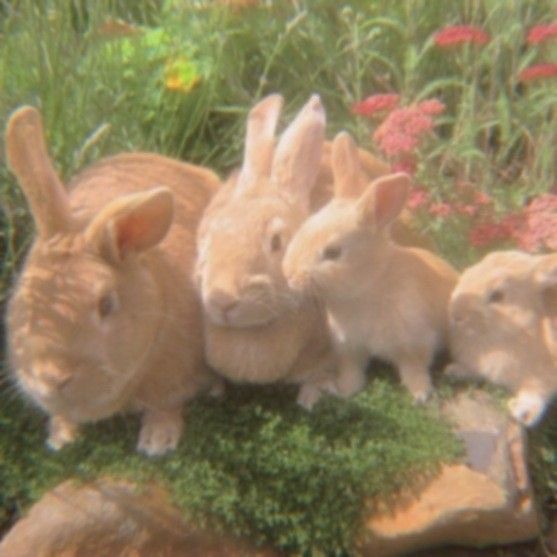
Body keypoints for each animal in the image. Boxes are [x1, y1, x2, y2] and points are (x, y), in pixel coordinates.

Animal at [4, 105, 222, 456]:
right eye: (22, 295)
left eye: (106, 304)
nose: (54, 377)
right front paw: (61, 438)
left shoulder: (173, 381)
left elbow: (166, 405)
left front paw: (157, 442)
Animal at [282, 131, 456, 400]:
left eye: (333, 252)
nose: (288, 275)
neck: (368, 288)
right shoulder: (350, 347)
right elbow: (352, 372)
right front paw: (344, 391)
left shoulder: (415, 343)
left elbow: (414, 370)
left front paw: (421, 395)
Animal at [448, 250, 556, 428]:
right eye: (470, 270)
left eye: (497, 296)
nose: (456, 314)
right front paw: (454, 370)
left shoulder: (542, 377)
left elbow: (535, 392)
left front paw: (521, 412)